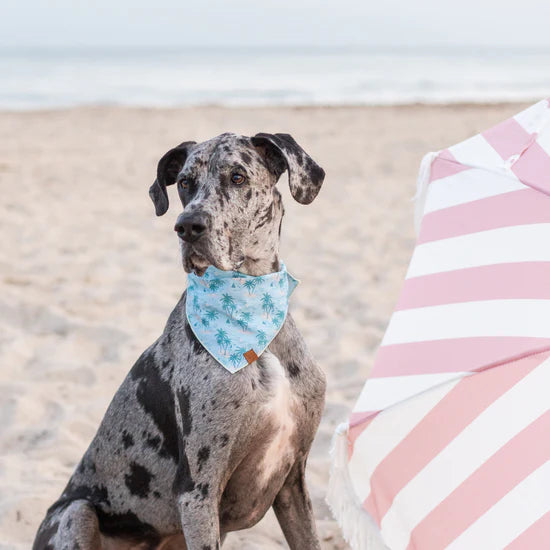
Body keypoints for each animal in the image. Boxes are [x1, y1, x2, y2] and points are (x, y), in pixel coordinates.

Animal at [33, 134, 328, 550]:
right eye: (185, 183)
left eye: (237, 177)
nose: (187, 226)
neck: (252, 314)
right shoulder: (198, 492)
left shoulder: (292, 481)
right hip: (75, 513)